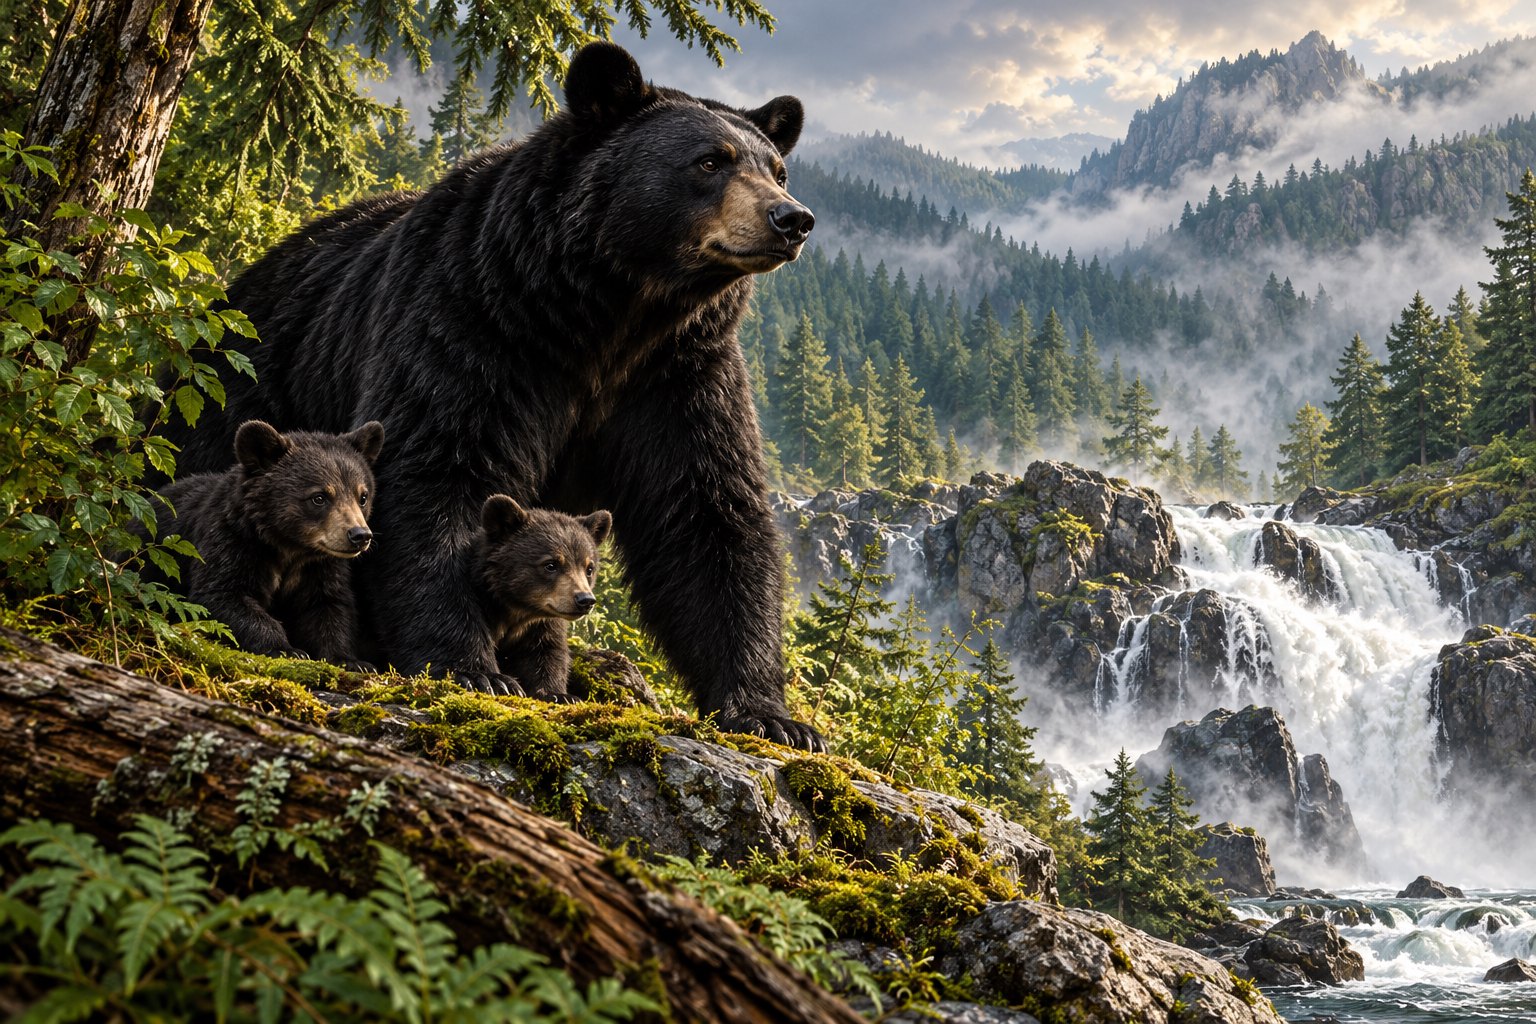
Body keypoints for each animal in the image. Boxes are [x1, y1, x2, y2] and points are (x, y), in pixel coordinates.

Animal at [144, 419, 384, 668]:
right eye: (319, 497)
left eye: (362, 496)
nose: (359, 535)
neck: (288, 545)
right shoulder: (231, 542)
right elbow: (223, 594)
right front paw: (286, 649)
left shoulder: (321, 566)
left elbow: (328, 606)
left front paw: (352, 661)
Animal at [461, 494, 612, 698]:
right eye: (551, 564)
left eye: (589, 568)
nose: (585, 600)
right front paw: (494, 681)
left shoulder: (542, 624)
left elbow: (546, 652)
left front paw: (558, 694)